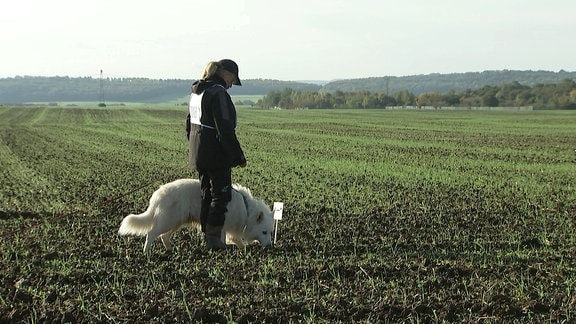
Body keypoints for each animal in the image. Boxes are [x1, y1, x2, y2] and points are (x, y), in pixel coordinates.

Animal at [117, 180, 274, 253]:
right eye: (264, 232)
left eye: (271, 233)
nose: (270, 246)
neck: (246, 210)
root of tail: (158, 194)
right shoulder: (222, 225)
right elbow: (226, 239)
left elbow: (236, 240)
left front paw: (241, 248)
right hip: (168, 221)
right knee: (151, 234)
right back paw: (146, 252)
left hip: (176, 222)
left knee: (164, 237)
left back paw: (170, 250)